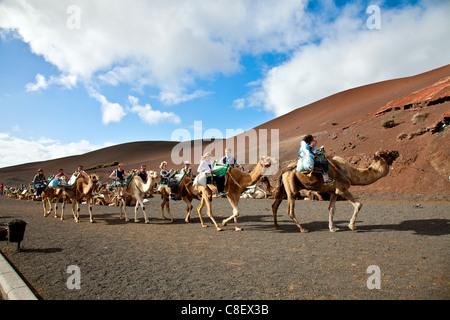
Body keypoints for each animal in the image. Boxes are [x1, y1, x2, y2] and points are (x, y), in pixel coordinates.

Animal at [272, 150, 400, 232]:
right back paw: (303, 229)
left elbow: (331, 209)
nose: (397, 152)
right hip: (291, 186)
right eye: (388, 153)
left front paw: (333, 228)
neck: (351, 173)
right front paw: (352, 226)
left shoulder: (334, 191)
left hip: (285, 187)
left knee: (275, 205)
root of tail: (283, 170)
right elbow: (358, 204)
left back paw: (278, 226)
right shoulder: (342, 189)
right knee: (290, 210)